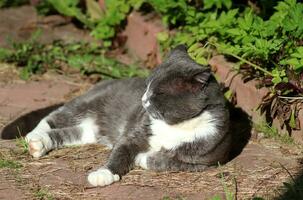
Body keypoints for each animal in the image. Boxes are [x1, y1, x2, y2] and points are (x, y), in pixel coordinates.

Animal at [25, 44, 230, 187]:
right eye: (147, 85)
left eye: (159, 92)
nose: (143, 99)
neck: (175, 125)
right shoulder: (132, 135)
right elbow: (119, 153)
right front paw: (103, 174)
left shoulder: (206, 161)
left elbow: (167, 162)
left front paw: (142, 158)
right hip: (88, 102)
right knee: (54, 117)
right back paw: (33, 137)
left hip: (89, 131)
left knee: (70, 133)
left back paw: (40, 145)